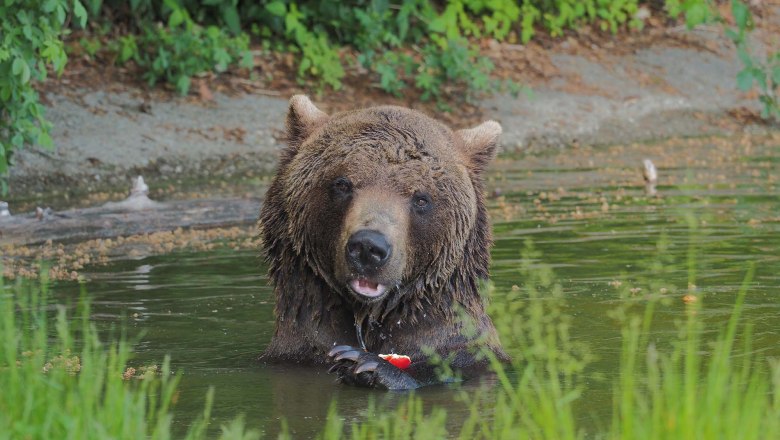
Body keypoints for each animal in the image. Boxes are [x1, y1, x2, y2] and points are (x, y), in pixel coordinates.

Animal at [258, 95, 508, 388]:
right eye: (342, 183)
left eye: (421, 198)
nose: (368, 247)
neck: (368, 315)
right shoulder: (297, 355)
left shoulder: (460, 352)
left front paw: (367, 365)